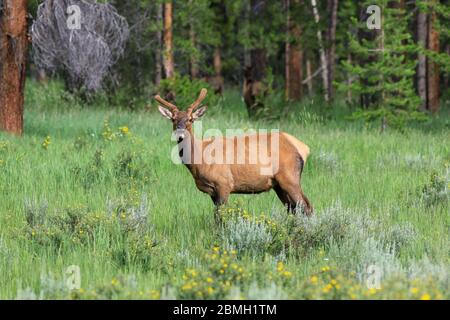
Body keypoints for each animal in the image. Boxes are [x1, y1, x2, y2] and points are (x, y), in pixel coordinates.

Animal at [156, 89, 312, 216]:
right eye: (173, 119)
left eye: (190, 119)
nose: (180, 134)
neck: (199, 162)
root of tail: (303, 147)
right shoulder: (213, 191)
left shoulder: (224, 183)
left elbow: (221, 216)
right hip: (278, 184)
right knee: (294, 208)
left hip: (290, 177)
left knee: (306, 207)